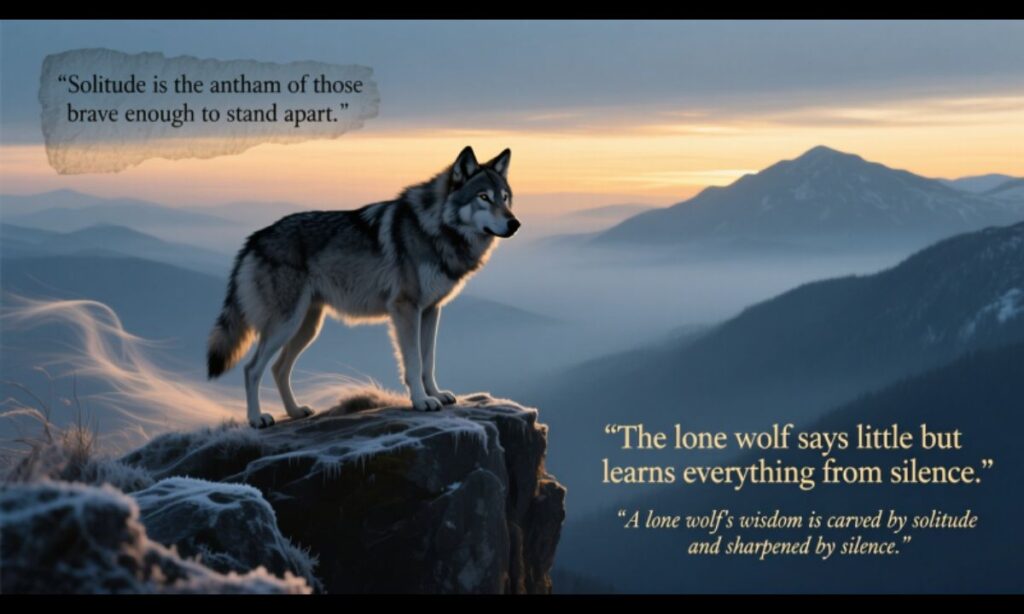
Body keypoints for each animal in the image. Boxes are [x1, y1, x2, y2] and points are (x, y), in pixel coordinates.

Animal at [206, 146, 518, 428]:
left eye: (504, 198)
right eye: (483, 197)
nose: (514, 223)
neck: (435, 228)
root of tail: (254, 239)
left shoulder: (431, 310)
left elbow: (428, 361)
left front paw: (436, 394)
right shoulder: (406, 308)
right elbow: (414, 362)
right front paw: (421, 401)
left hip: (306, 327)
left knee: (278, 368)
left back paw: (295, 412)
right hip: (285, 325)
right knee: (252, 369)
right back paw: (257, 418)